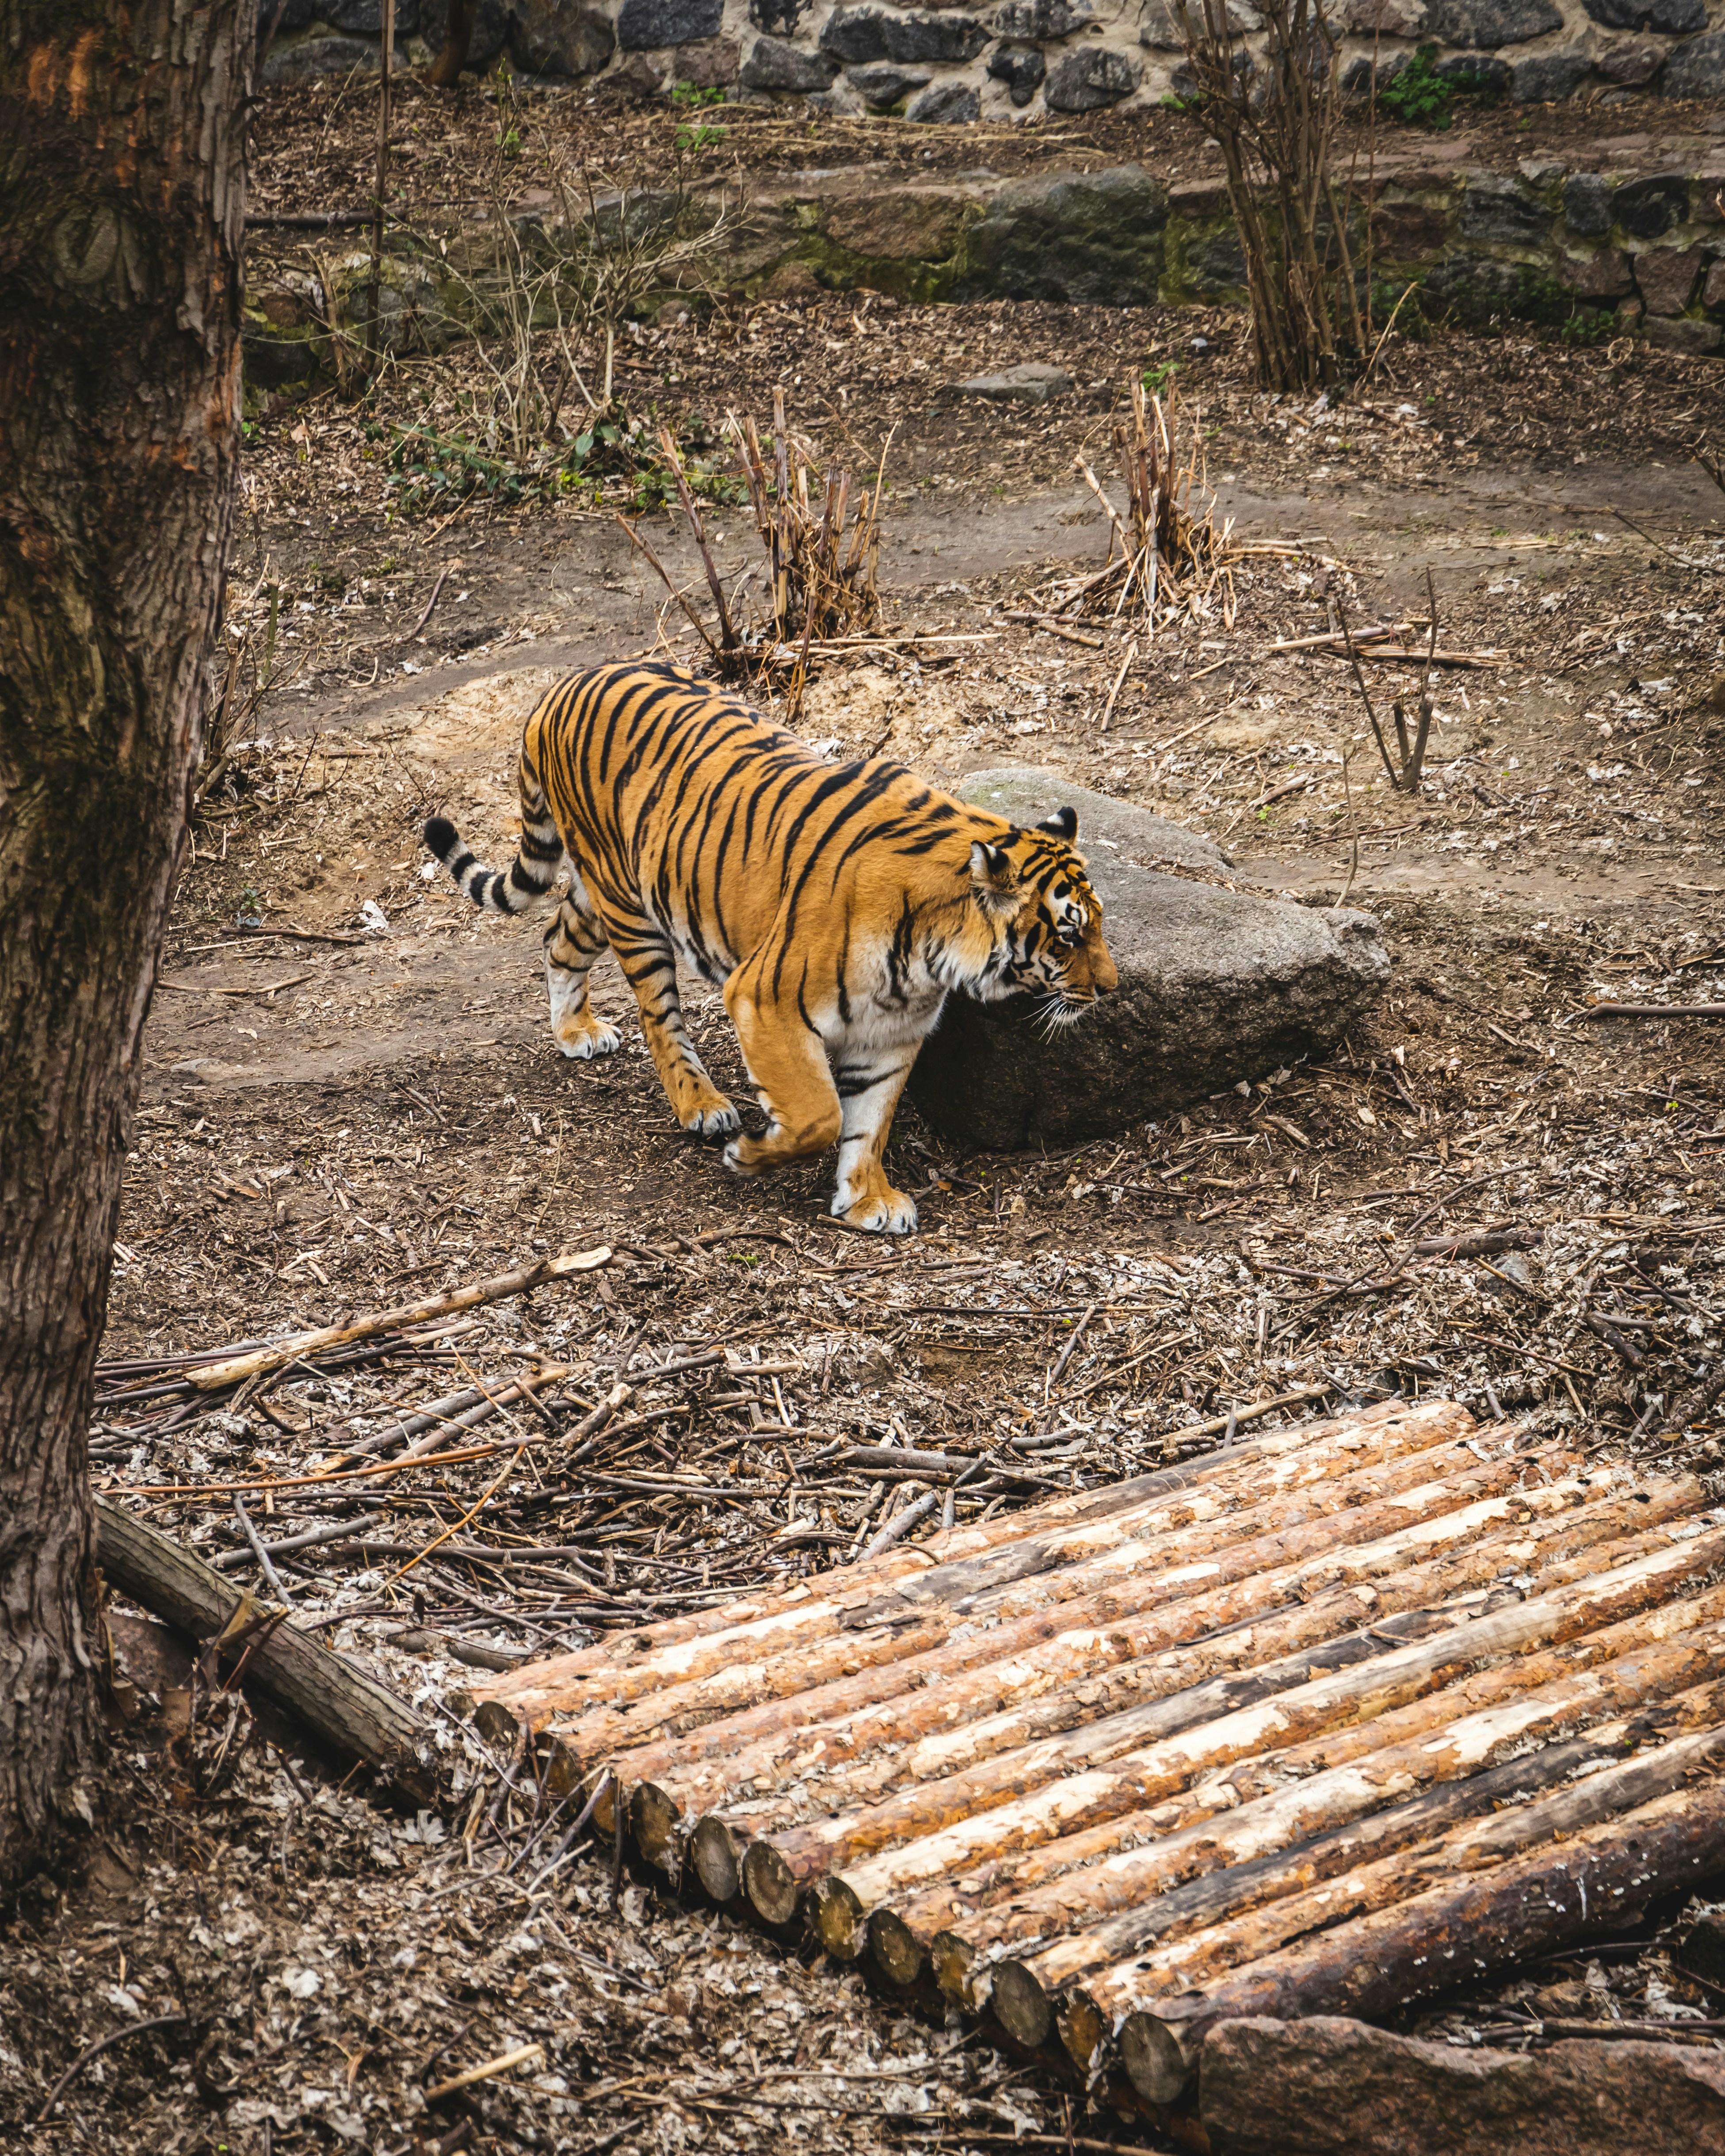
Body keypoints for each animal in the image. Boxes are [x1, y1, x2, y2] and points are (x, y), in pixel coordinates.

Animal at [424, 660, 1116, 1234]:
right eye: (1068, 934)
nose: (1110, 988)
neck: (929, 958)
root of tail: (561, 687)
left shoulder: (892, 1033)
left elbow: (869, 1125)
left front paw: (866, 1199)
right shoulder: (766, 1000)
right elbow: (821, 1114)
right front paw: (753, 1155)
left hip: (614, 893)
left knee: (558, 936)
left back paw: (575, 1032)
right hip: (631, 908)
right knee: (658, 1017)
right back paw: (703, 1106)